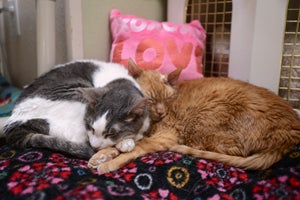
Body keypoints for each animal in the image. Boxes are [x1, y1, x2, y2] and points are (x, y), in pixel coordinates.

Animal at [2, 60, 150, 159]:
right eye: (91, 127)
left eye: (111, 133)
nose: (95, 146)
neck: (120, 80)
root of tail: (14, 127)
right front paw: (126, 141)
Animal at [88, 59, 300, 172]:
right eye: (150, 100)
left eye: (168, 99)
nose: (161, 112)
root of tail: (291, 133)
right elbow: (119, 143)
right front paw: (101, 155)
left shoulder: (164, 136)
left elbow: (136, 148)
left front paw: (110, 162)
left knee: (230, 150)